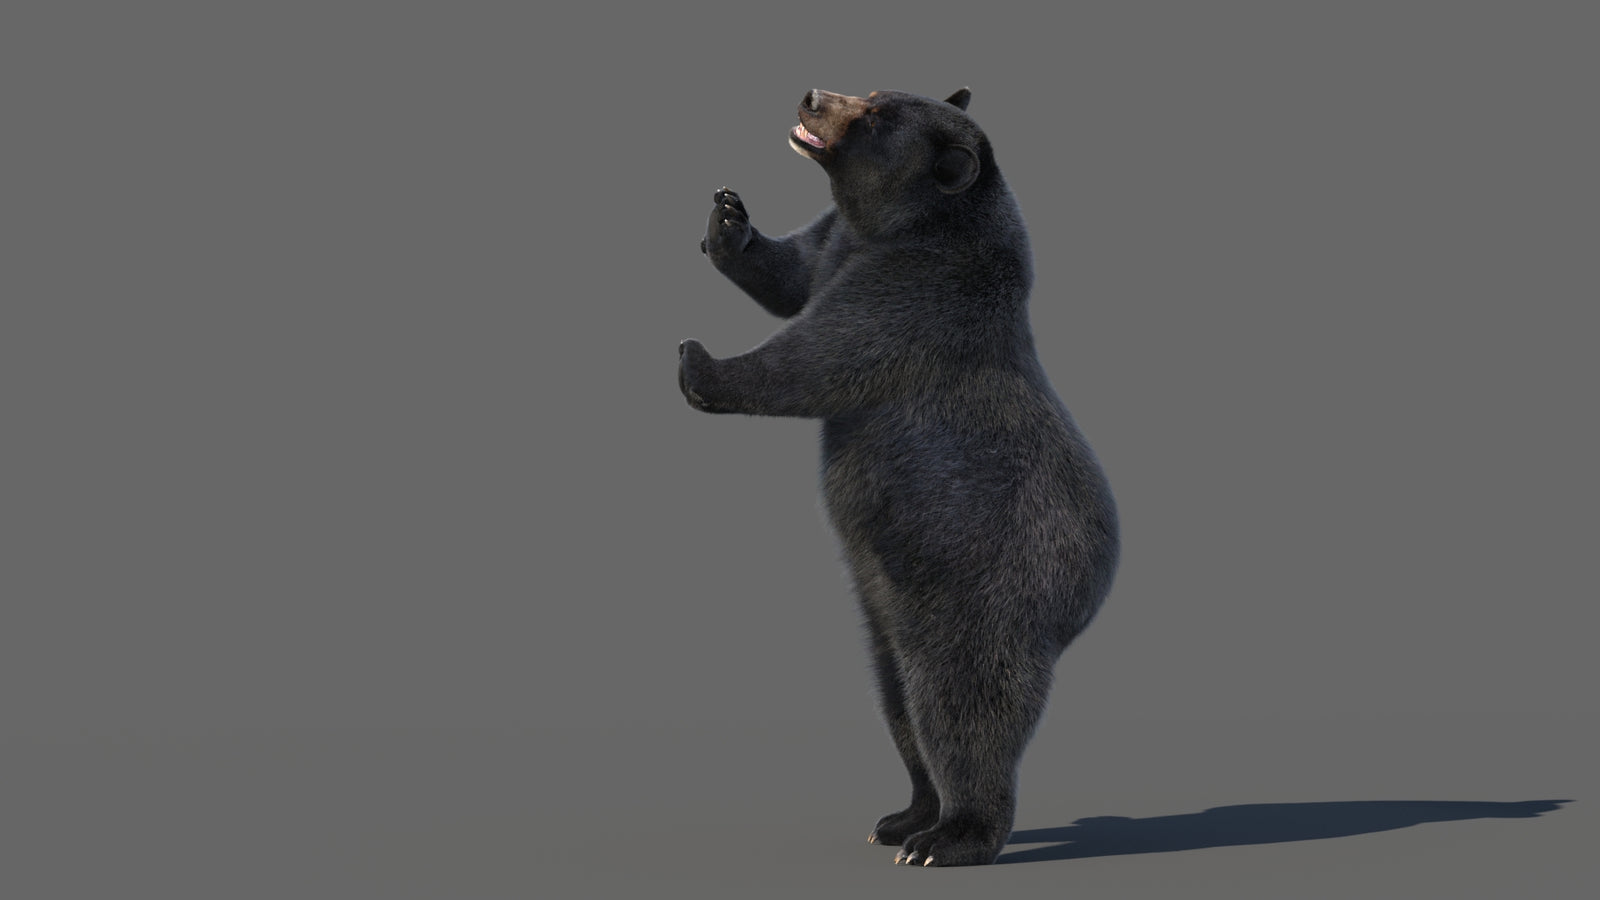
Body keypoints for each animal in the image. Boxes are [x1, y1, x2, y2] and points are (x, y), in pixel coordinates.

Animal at [678, 88, 1119, 867]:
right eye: (875, 93)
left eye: (877, 118)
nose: (812, 97)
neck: (901, 225)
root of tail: (1090, 591)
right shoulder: (840, 245)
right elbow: (793, 276)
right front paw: (729, 221)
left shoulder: (919, 288)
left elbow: (823, 354)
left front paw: (701, 363)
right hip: (886, 610)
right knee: (898, 703)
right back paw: (904, 816)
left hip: (986, 595)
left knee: (959, 709)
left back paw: (952, 837)